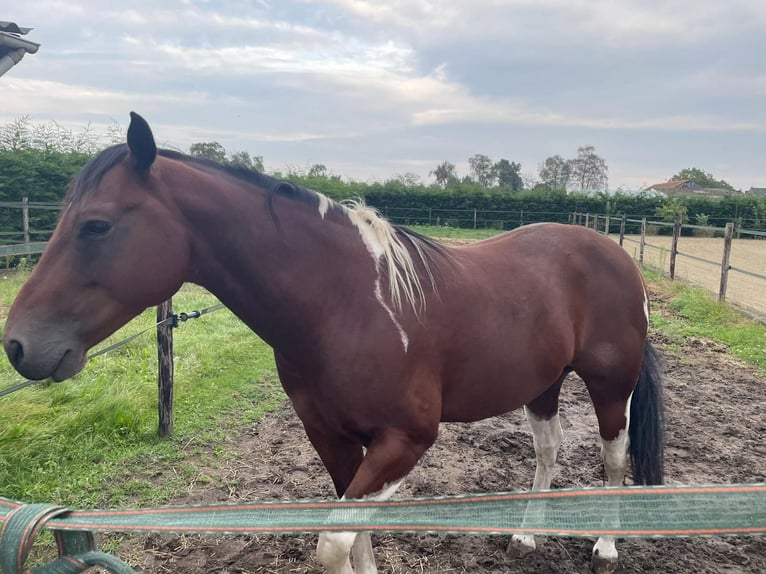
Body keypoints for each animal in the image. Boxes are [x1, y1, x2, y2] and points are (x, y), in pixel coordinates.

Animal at [1, 113, 664, 574]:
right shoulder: (337, 441)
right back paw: (525, 536)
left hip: (610, 385)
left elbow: (334, 543)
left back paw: (606, 546)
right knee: (549, 451)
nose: (18, 346)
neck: (344, 305)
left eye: (97, 225)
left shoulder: (404, 441)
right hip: (542, 384)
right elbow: (356, 539)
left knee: (613, 457)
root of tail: (610, 252)